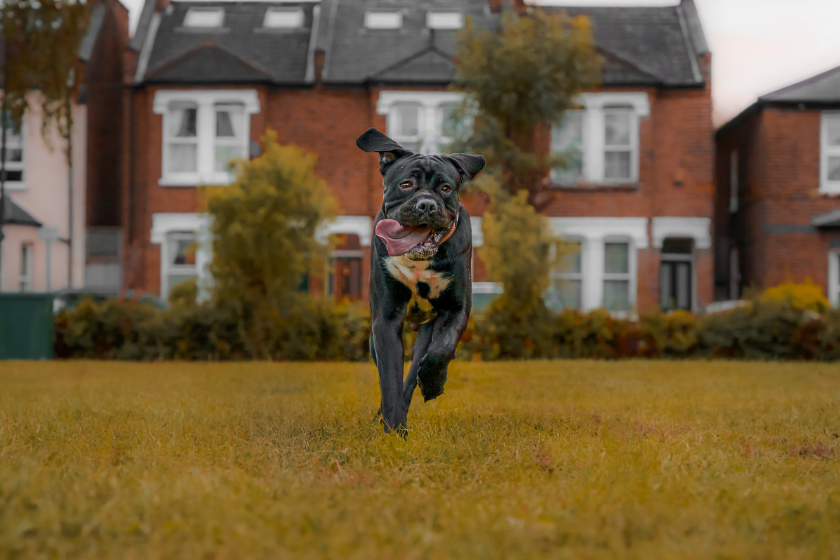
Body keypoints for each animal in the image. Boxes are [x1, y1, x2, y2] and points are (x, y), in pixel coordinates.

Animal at [354, 128, 486, 434]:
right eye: (405, 184)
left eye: (446, 188)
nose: (426, 204)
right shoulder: (385, 319)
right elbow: (389, 378)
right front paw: (394, 430)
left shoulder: (455, 309)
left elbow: (442, 350)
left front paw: (433, 384)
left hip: (427, 329)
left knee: (418, 365)